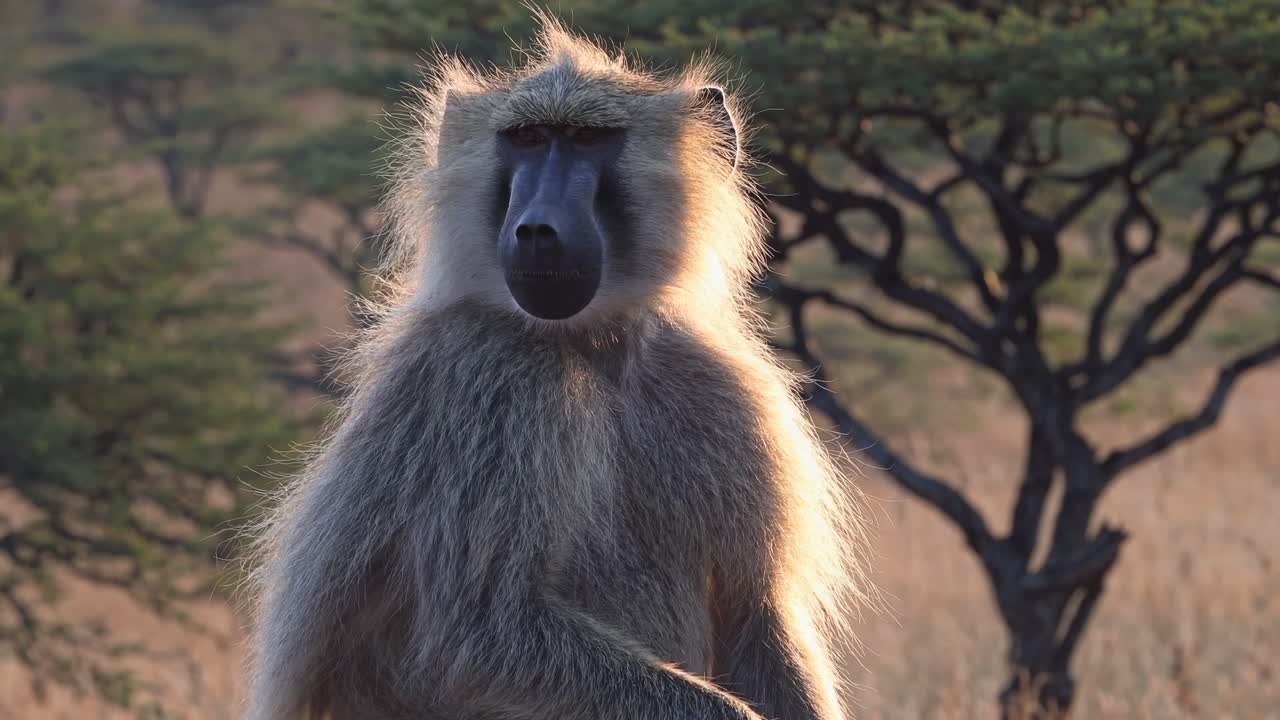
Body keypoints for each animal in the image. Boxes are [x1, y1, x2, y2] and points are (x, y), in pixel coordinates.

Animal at [244, 14, 869, 720]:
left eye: (587, 140)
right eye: (526, 139)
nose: (537, 229)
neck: (596, 345)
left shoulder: (721, 384)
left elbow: (756, 614)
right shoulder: (497, 376)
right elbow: (475, 636)